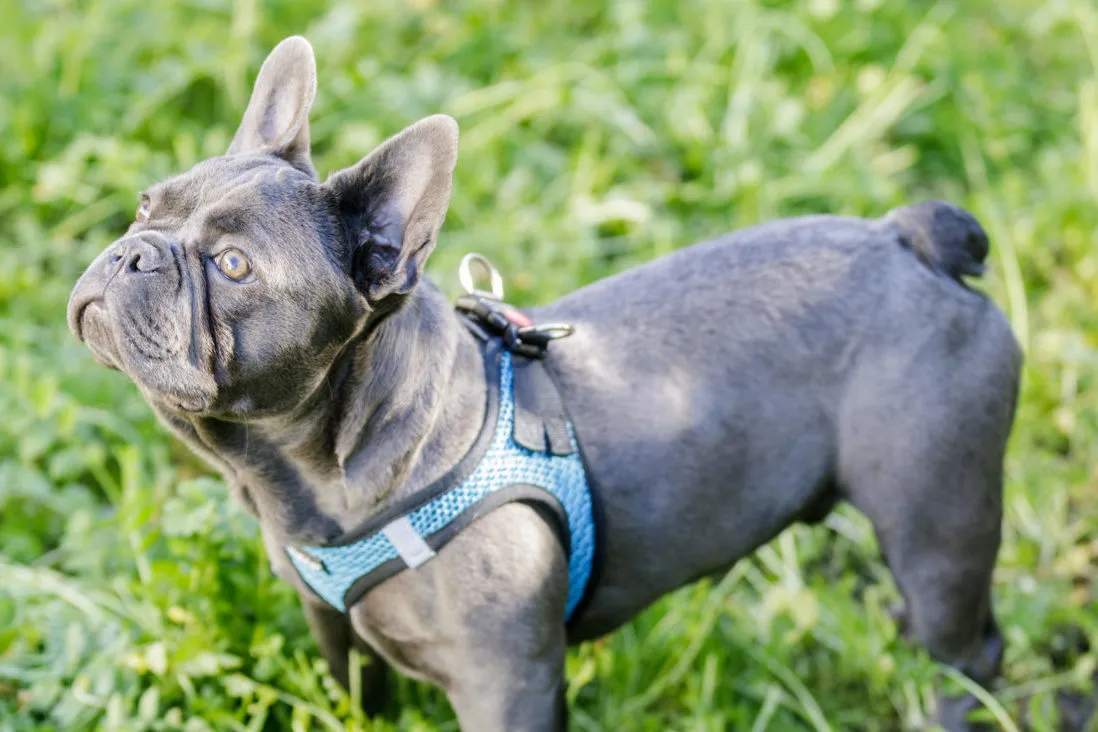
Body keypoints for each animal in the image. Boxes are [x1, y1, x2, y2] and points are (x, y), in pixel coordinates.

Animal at [70, 37, 1018, 728]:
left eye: (233, 265)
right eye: (145, 206)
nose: (134, 252)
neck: (316, 473)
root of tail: (909, 240)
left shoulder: (507, 683)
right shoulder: (331, 628)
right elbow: (360, 698)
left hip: (940, 522)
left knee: (969, 652)